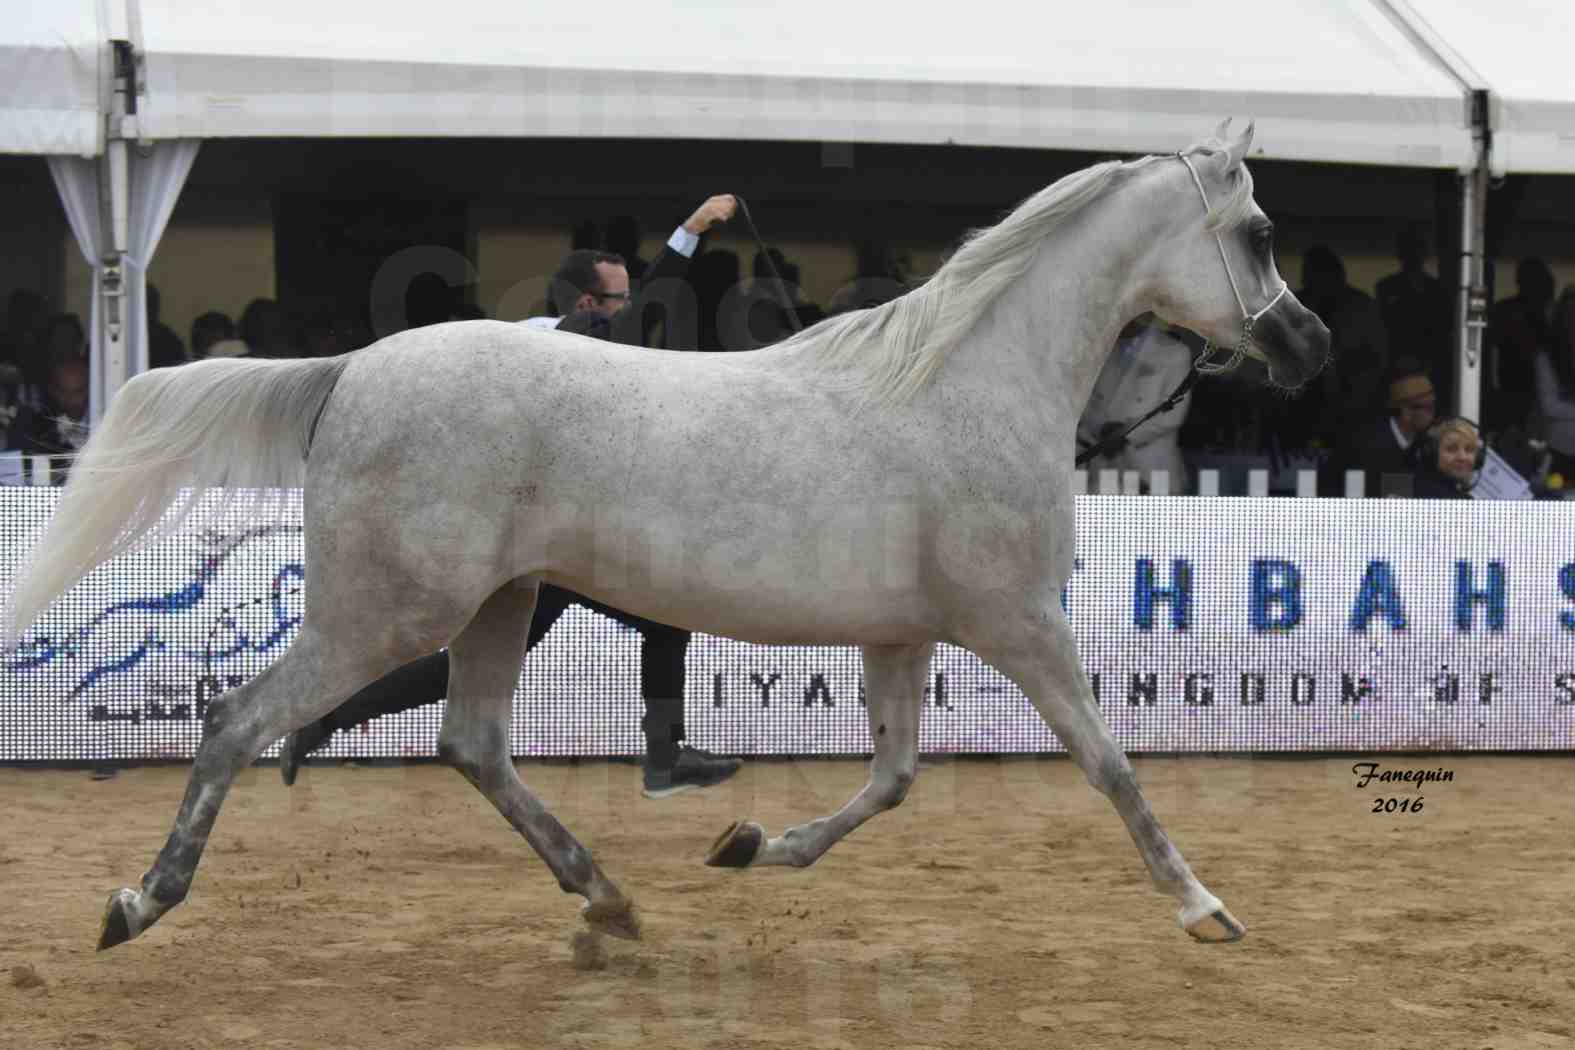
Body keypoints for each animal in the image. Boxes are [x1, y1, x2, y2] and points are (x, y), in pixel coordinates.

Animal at [3, 121, 1329, 950]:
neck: (965, 387)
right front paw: (1205, 908)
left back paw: (609, 902)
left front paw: (750, 847)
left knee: (470, 745)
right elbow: (1110, 766)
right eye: (1259, 235)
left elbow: (894, 779)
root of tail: (354, 369)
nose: (1308, 343)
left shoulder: (904, 636)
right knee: (239, 721)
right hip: (390, 610)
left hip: (495, 607)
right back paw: (139, 904)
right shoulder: (1019, 624)